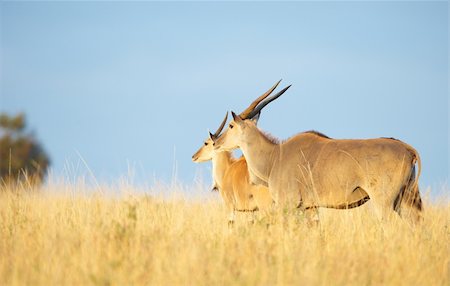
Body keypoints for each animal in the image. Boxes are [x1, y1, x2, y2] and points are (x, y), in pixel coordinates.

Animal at [214, 86, 422, 225]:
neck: (275, 156)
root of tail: (407, 149)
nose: (216, 142)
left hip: (384, 203)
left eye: (231, 125)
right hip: (405, 201)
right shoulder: (310, 208)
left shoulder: (288, 205)